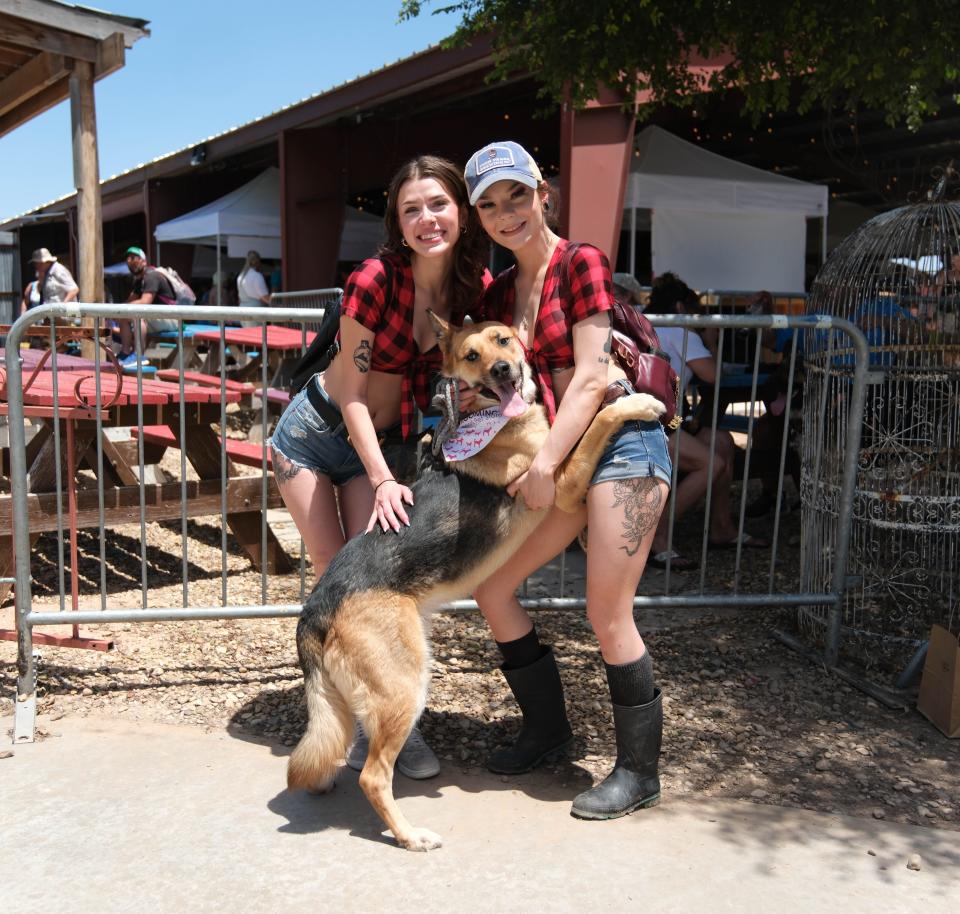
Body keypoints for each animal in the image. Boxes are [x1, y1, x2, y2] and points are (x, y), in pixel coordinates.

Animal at [284, 314, 660, 848]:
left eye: (503, 340)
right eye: (471, 356)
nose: (502, 370)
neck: (491, 417)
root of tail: (316, 606)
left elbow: (584, 427)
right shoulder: (561, 483)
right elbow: (593, 428)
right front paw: (634, 403)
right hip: (405, 685)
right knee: (374, 776)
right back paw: (409, 836)